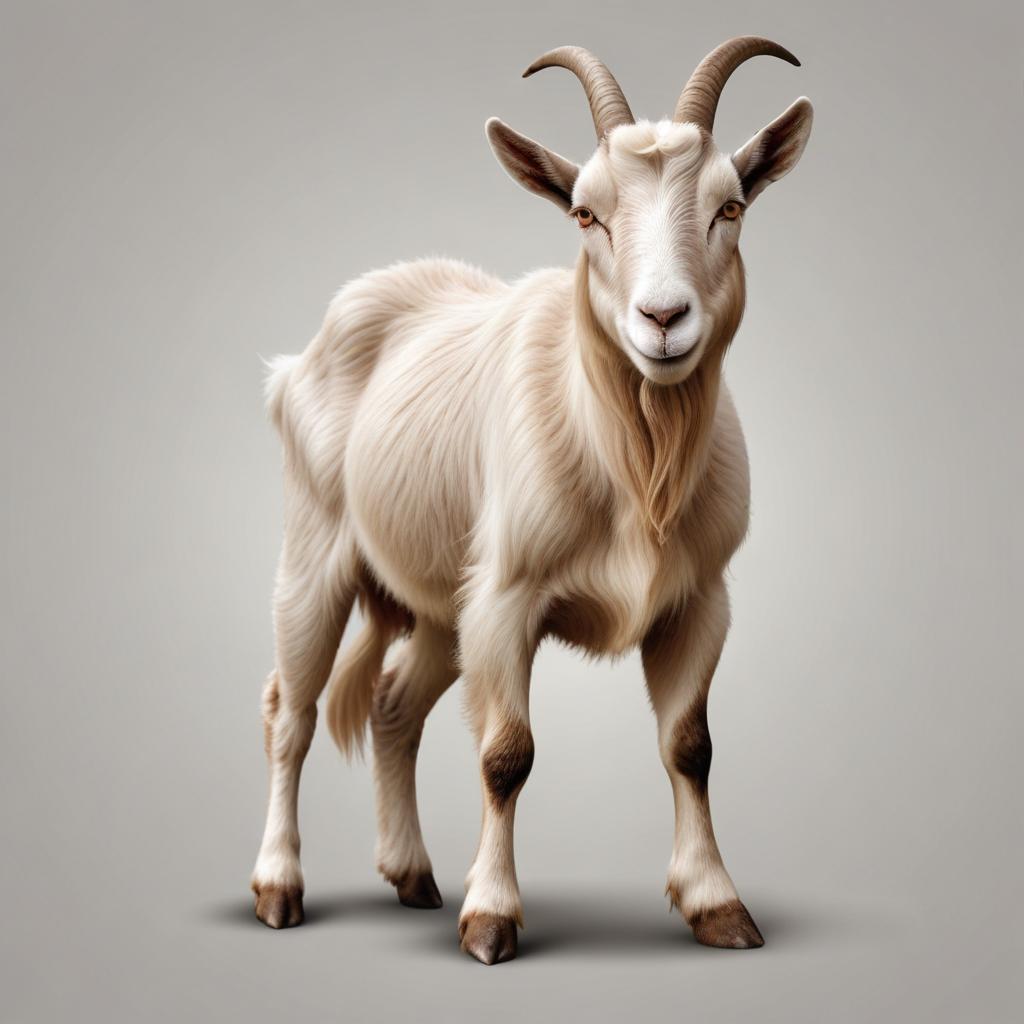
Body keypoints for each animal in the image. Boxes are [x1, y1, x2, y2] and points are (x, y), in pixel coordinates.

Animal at [251, 37, 813, 964]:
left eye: (730, 206)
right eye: (585, 214)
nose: (664, 318)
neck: (634, 462)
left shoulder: (699, 600)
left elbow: (689, 746)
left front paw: (717, 906)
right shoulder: (507, 598)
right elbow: (506, 754)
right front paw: (490, 920)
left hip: (441, 605)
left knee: (393, 706)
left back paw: (412, 876)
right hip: (316, 553)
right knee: (290, 712)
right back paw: (277, 888)